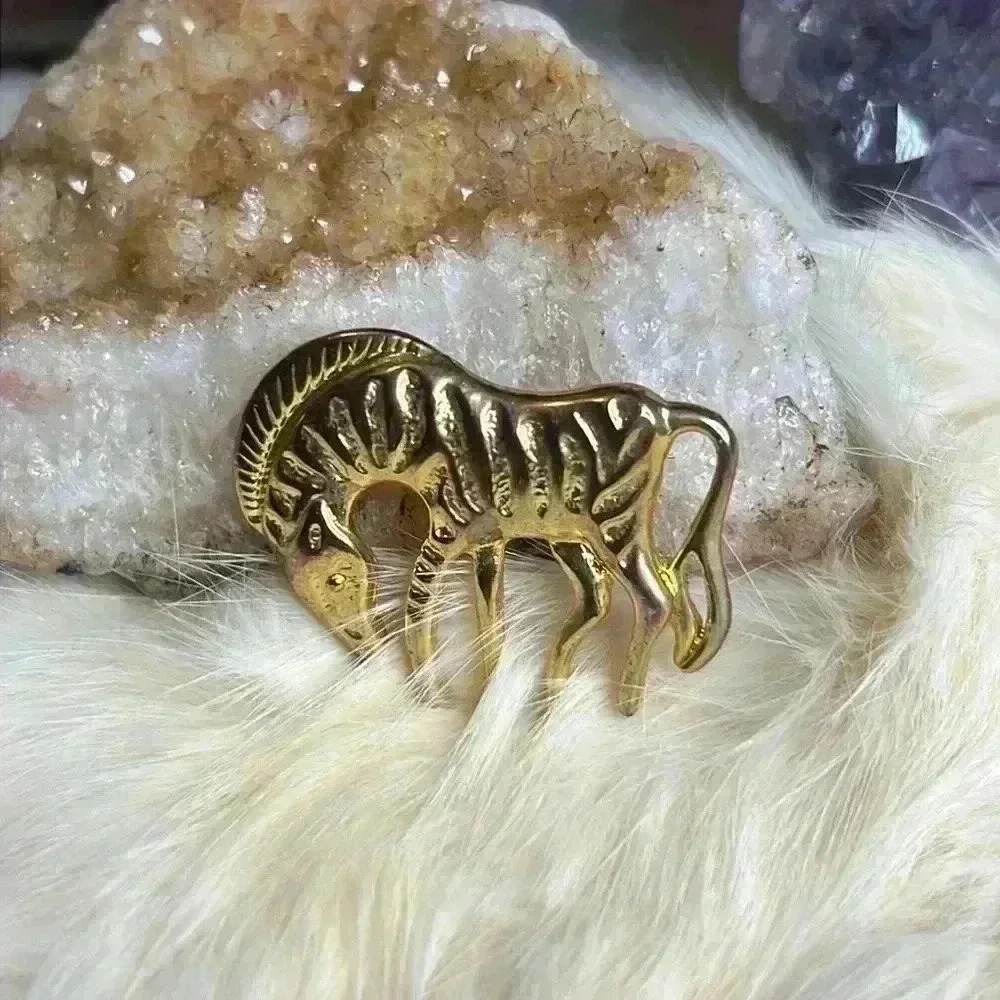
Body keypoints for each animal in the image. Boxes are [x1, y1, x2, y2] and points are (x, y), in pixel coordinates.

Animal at [235, 328, 737, 715]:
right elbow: (489, 615)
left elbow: (417, 606)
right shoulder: (487, 540)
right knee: (604, 599)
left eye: (336, 580)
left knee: (656, 602)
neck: (408, 423)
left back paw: (625, 706)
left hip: (614, 524)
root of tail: (666, 413)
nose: (365, 653)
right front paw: (486, 694)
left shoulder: (446, 533)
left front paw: (431, 696)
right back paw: (548, 695)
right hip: (570, 533)